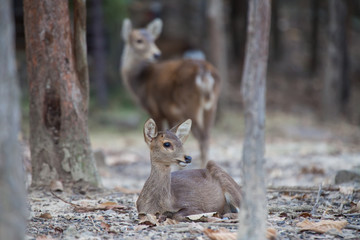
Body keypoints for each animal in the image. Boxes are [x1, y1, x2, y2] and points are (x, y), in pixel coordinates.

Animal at [121, 18, 222, 167]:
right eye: (139, 40)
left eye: (153, 40)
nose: (156, 54)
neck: (141, 80)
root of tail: (205, 73)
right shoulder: (172, 113)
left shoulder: (156, 109)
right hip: (212, 105)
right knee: (208, 135)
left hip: (191, 103)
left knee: (202, 137)